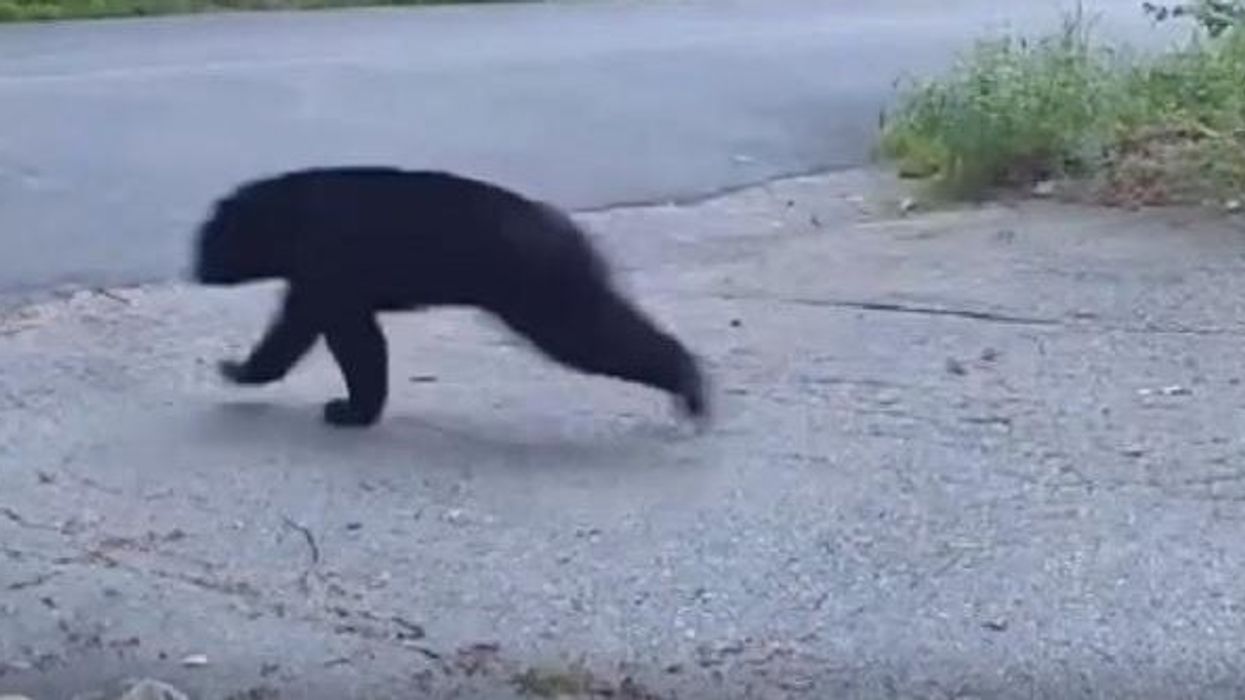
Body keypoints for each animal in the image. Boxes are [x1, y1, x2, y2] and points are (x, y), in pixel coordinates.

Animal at [193, 166, 709, 429]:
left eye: (208, 240)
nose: (194, 268)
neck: (287, 214)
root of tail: (568, 229)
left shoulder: (327, 264)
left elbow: (333, 337)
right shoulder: (327, 278)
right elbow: (348, 338)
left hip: (541, 286)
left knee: (592, 335)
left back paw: (690, 385)